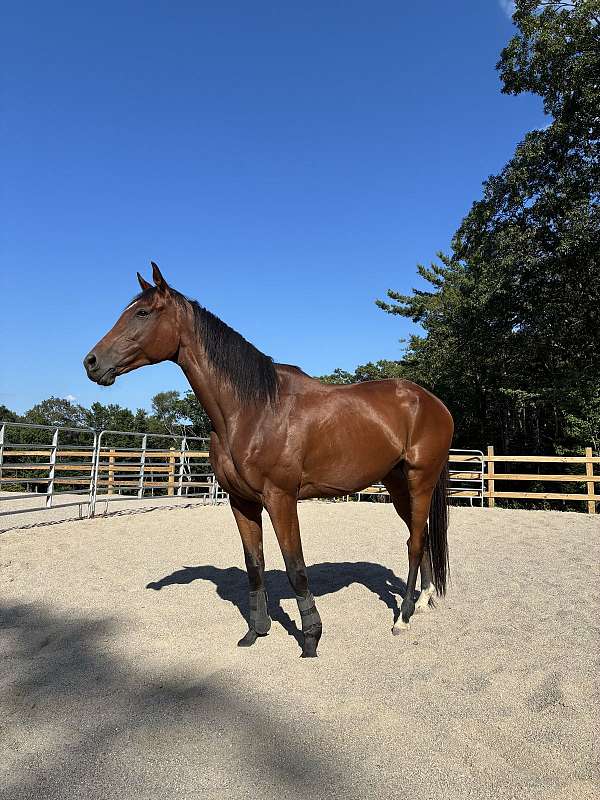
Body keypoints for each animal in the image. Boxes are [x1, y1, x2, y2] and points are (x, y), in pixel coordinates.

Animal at [84, 263, 453, 657]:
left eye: (142, 312)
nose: (91, 362)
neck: (252, 409)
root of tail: (433, 403)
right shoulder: (241, 502)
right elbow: (255, 565)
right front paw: (256, 631)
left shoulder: (280, 498)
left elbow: (296, 568)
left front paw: (310, 638)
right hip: (398, 484)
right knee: (420, 534)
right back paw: (424, 599)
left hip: (420, 479)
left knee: (414, 542)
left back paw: (404, 616)